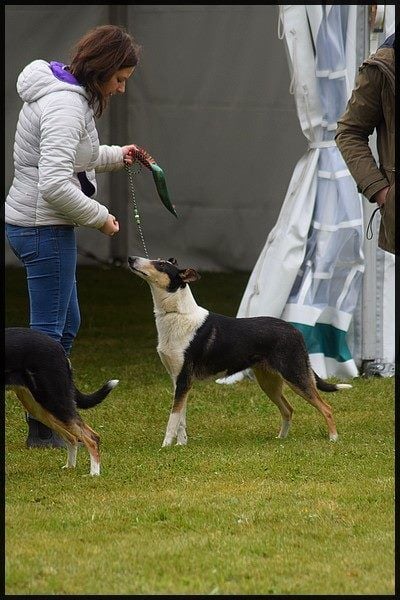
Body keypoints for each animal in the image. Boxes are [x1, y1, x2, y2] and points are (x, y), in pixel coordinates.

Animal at [5, 326, 119, 476]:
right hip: (39, 407)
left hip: (54, 401)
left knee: (92, 437)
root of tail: (60, 348)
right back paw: (70, 466)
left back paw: (93, 473)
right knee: (72, 438)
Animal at [127, 255, 350, 448]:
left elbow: (172, 419)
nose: (131, 258)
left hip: (295, 375)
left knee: (326, 408)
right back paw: (281, 439)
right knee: (288, 409)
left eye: (160, 265)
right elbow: (181, 417)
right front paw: (181, 445)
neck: (176, 314)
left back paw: (333, 438)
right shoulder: (178, 379)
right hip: (268, 381)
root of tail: (295, 330)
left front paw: (165, 447)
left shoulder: (183, 379)